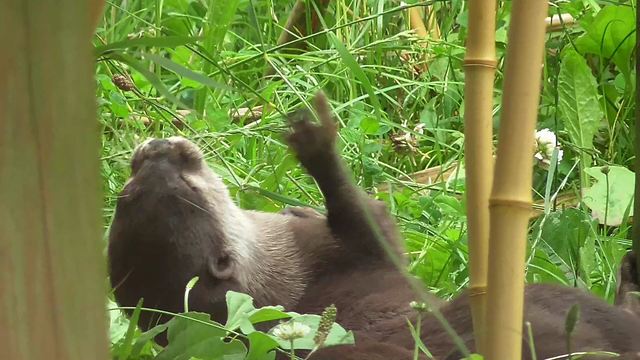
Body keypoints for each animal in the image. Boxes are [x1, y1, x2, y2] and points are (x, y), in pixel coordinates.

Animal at [110, 93, 640, 360]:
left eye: (126, 190)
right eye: (190, 183)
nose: (158, 147)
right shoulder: (348, 249)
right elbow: (372, 219)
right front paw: (318, 147)